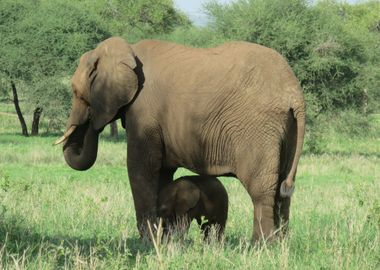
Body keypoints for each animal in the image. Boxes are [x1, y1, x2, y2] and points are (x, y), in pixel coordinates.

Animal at [55, 37, 306, 242]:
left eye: (76, 92)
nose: (91, 120)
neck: (127, 50)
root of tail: (294, 93)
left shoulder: (143, 113)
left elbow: (141, 167)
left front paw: (149, 242)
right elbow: (162, 172)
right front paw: (162, 239)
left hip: (259, 128)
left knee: (262, 190)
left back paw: (260, 247)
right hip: (287, 129)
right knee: (282, 190)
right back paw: (281, 246)